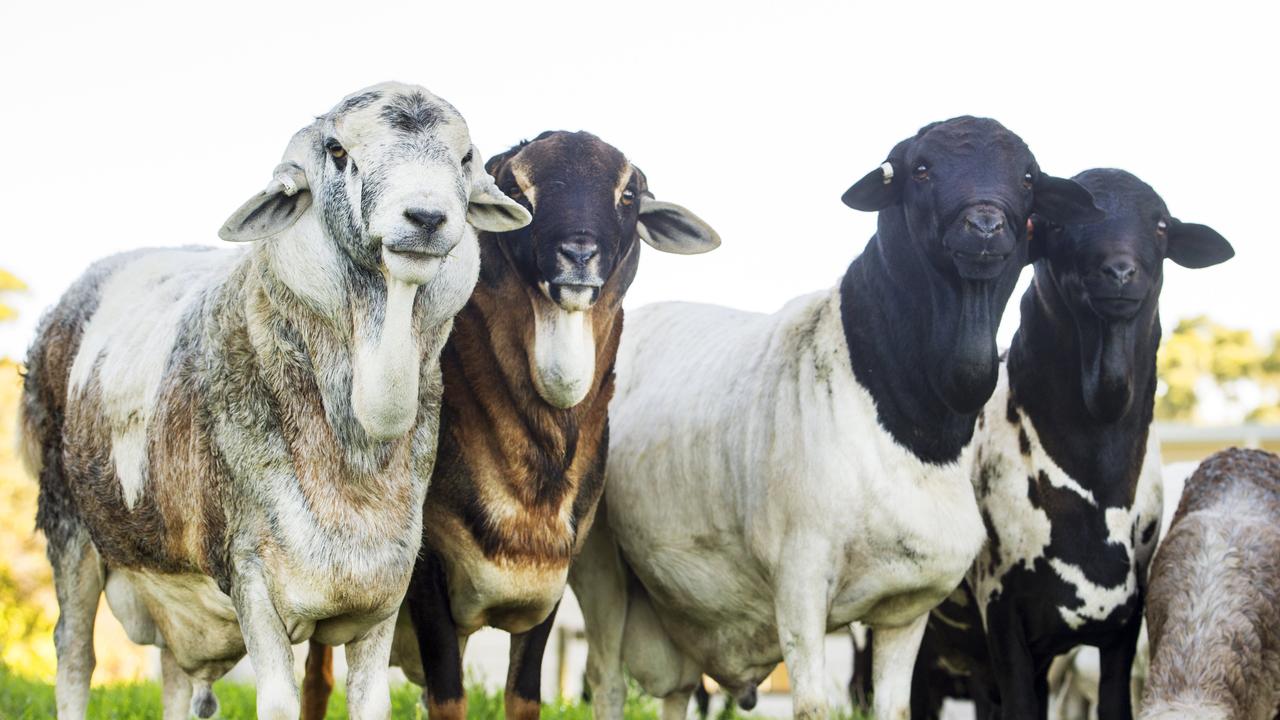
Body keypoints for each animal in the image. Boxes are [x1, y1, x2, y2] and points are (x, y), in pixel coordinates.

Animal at [20, 81, 529, 712]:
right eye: (337, 151)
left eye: (464, 159)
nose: (428, 217)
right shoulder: (253, 579)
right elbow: (280, 704)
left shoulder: (383, 593)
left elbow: (371, 704)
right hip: (65, 522)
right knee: (74, 658)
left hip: (170, 587)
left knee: (173, 678)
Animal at [294, 130, 727, 717]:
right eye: (516, 189)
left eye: (629, 194)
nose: (579, 254)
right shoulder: (427, 571)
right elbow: (448, 698)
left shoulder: (548, 582)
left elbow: (522, 697)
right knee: (317, 679)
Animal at [570, 117, 1100, 717]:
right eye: (922, 169)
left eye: (1028, 177)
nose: (986, 227)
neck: (912, 426)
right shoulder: (800, 582)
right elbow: (813, 706)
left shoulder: (907, 608)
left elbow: (894, 708)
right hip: (599, 564)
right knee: (607, 681)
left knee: (678, 690)